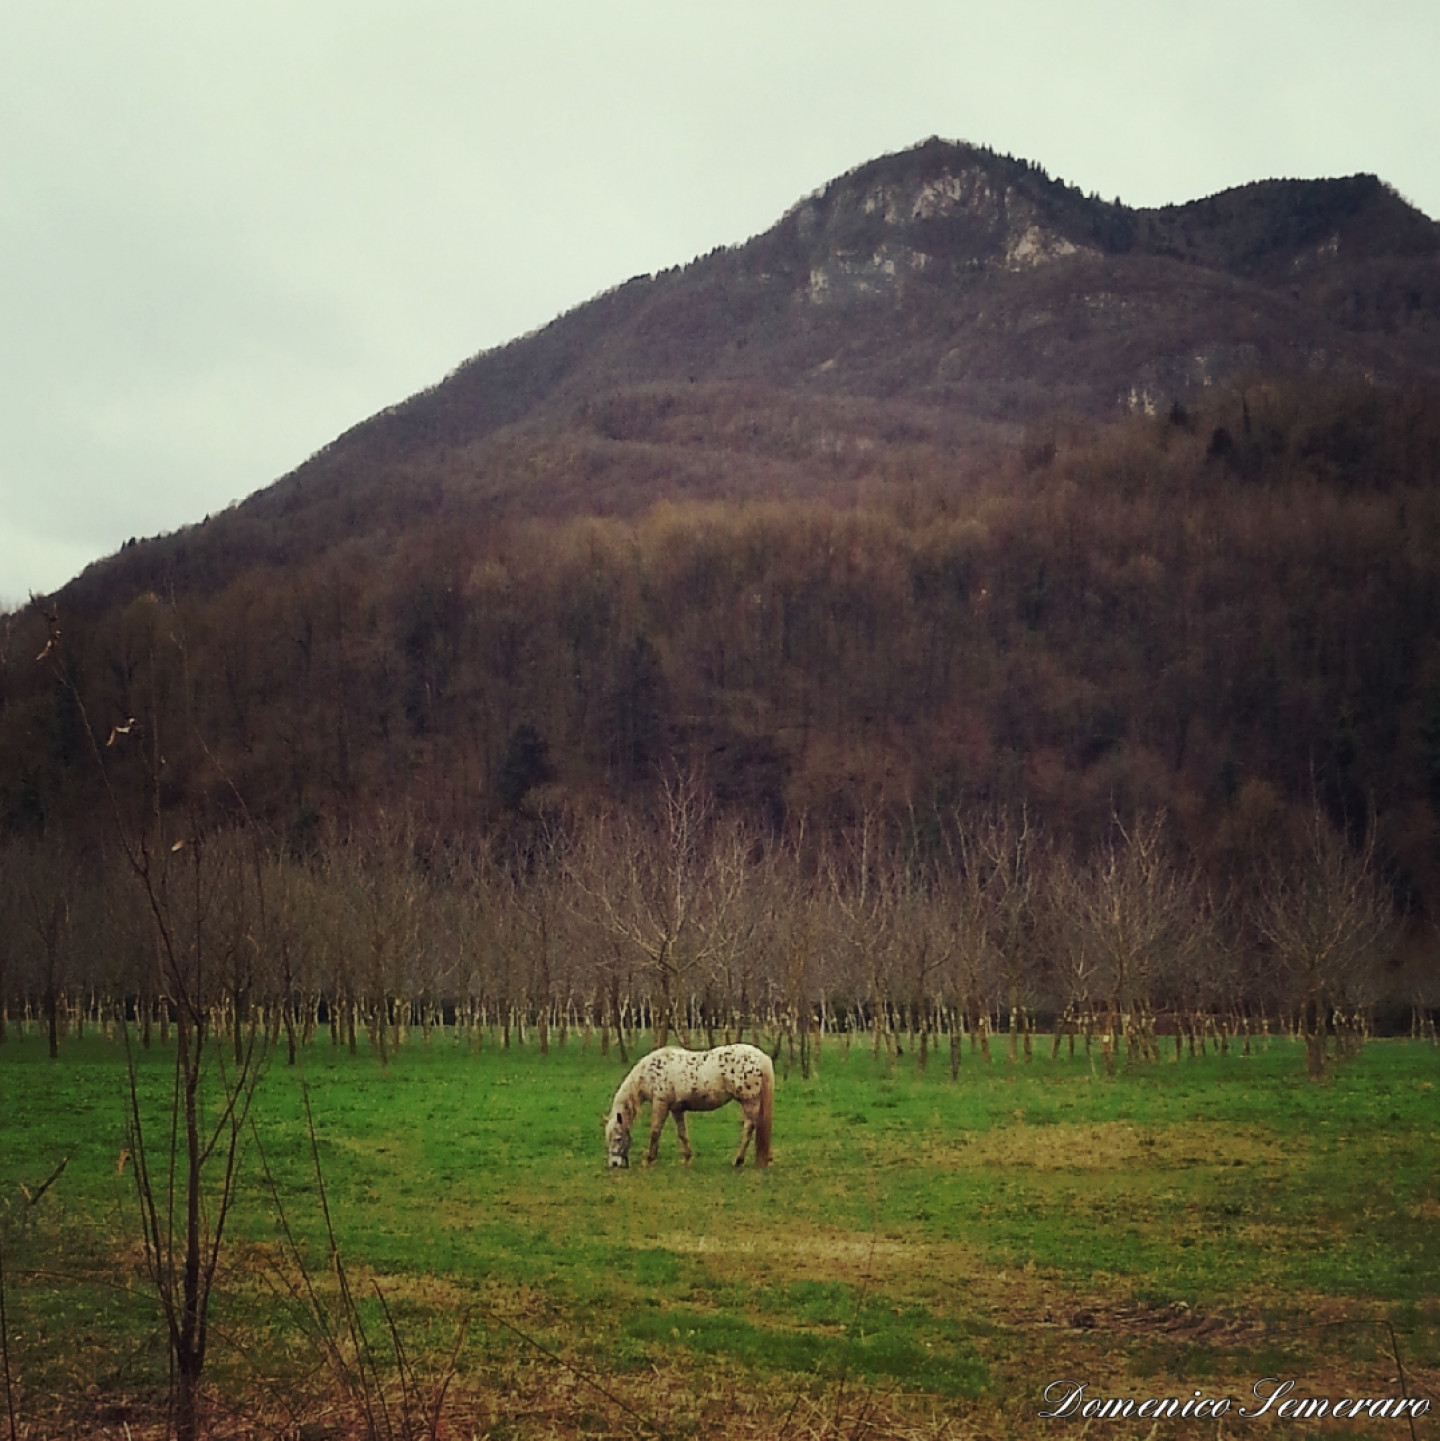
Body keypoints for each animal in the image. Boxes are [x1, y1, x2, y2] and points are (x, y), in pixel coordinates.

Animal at [602, 1043, 772, 1164]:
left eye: (618, 1138)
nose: (614, 1164)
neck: (648, 1074)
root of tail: (760, 1056)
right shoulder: (676, 1109)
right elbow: (682, 1133)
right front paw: (687, 1157)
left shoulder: (660, 1104)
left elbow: (655, 1131)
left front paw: (649, 1158)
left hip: (749, 1102)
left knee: (748, 1128)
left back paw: (738, 1160)